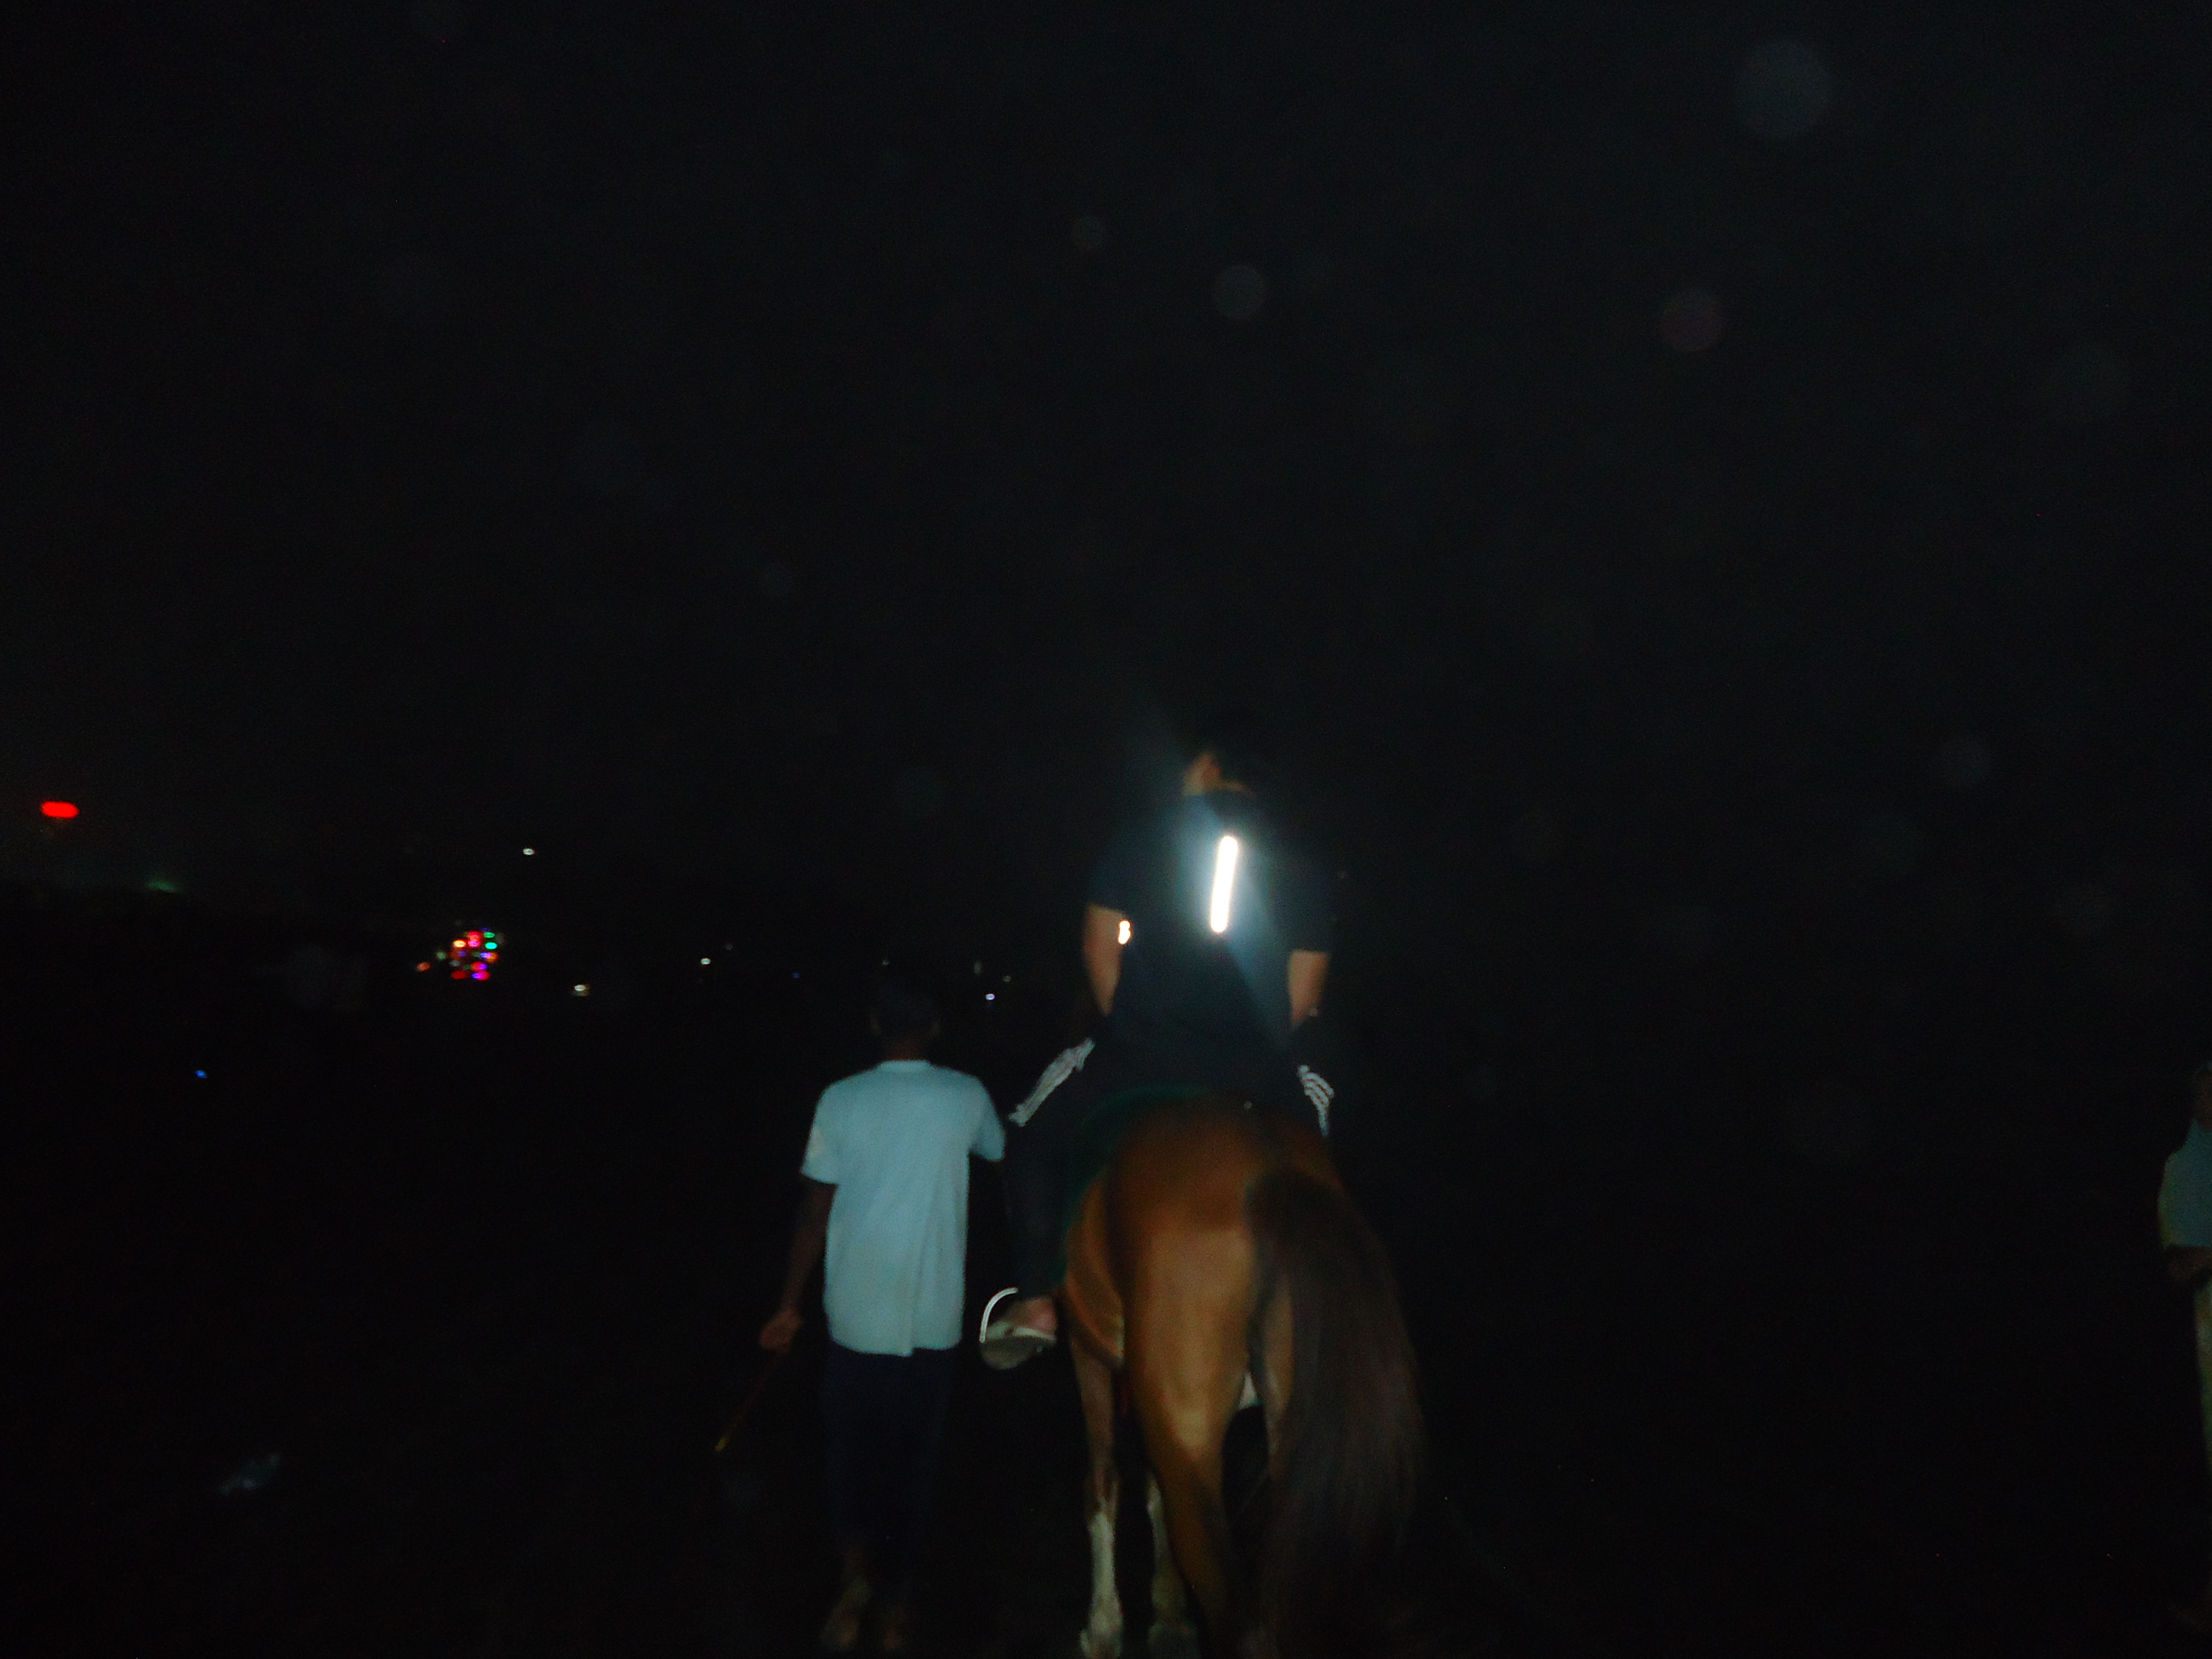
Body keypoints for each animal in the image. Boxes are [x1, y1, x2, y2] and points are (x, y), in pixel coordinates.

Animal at [1053, 1090, 1423, 1658]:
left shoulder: (1086, 1347)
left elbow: (1104, 1478)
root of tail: (1269, 1167)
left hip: (1188, 1437)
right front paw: (1169, 1618)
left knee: (1241, 1622)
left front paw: (1104, 1627)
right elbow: (1151, 1491)